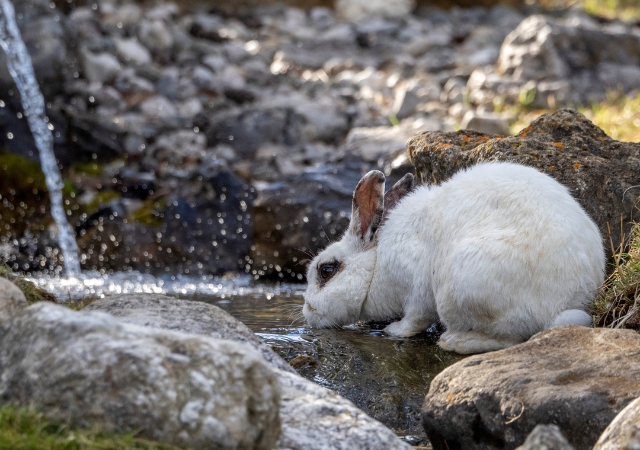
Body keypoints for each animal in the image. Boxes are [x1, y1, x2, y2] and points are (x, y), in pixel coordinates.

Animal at [304, 163, 604, 356]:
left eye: (326, 270)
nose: (307, 311)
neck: (377, 261)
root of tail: (571, 299)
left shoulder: (418, 287)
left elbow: (415, 318)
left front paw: (394, 330)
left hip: (461, 287)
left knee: (511, 339)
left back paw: (453, 341)